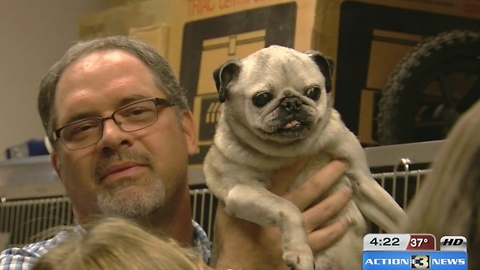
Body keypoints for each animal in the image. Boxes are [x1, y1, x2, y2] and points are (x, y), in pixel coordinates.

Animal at [203, 45, 408, 268]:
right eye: (262, 98)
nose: (291, 103)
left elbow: (396, 213)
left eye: (313, 92)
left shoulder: (362, 180)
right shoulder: (241, 190)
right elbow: (288, 208)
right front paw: (299, 251)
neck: (291, 151)